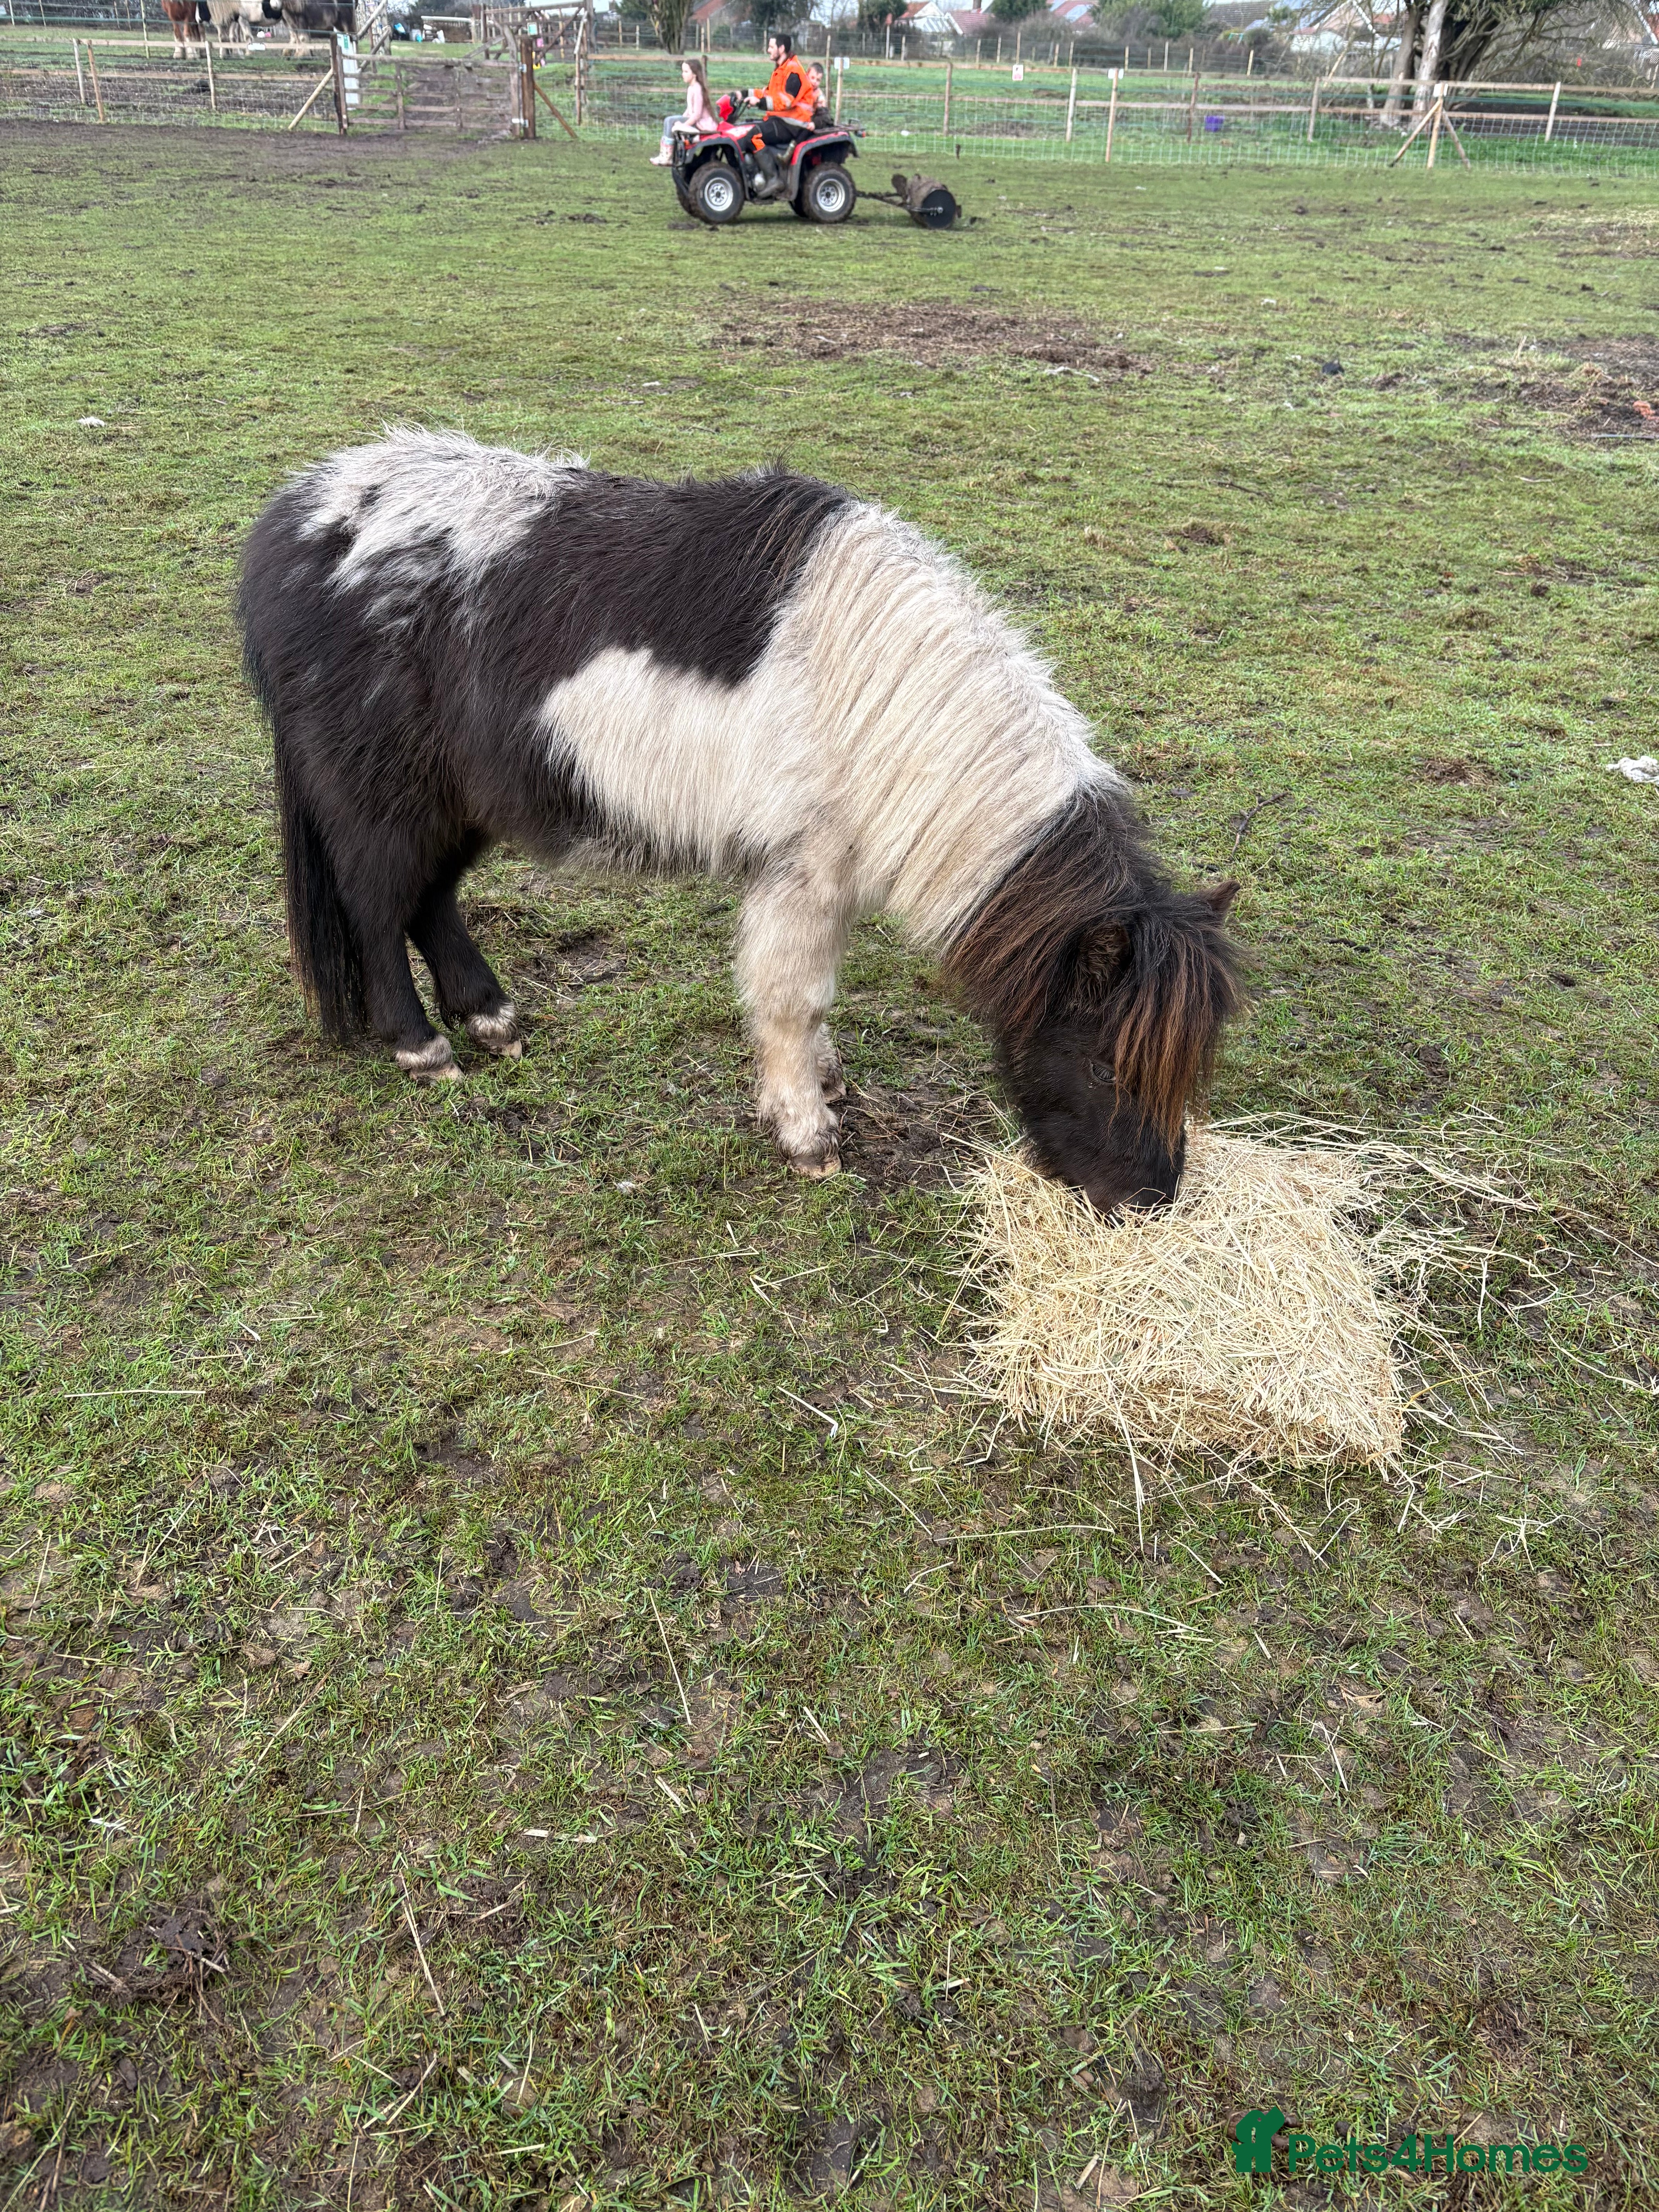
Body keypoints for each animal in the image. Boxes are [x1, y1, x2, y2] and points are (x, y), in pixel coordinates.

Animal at [239, 432, 1241, 1215]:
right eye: (1108, 1066)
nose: (1149, 1200)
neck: (876, 697)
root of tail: (293, 522)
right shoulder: (802, 871)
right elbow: (792, 998)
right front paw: (807, 1134)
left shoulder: (827, 876)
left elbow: (816, 995)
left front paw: (826, 1084)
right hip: (383, 799)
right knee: (378, 909)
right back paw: (424, 1049)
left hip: (461, 803)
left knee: (431, 901)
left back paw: (493, 1020)